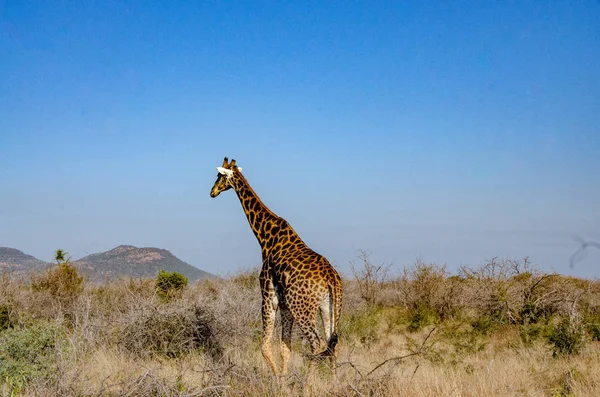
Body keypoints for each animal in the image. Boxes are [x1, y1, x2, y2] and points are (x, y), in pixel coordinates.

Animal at [210, 156, 342, 372]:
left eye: (219, 176)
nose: (212, 192)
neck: (265, 236)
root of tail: (331, 278)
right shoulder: (285, 304)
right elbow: (285, 348)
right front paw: (284, 377)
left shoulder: (268, 294)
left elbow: (265, 347)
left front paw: (278, 378)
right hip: (329, 307)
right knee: (333, 345)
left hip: (302, 308)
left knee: (318, 343)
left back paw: (309, 381)